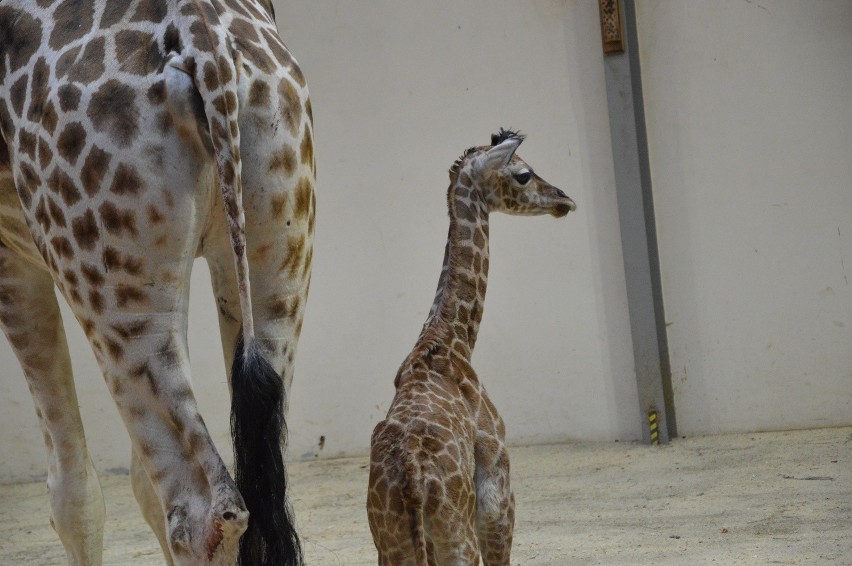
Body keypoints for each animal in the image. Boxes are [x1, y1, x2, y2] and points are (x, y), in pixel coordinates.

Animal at [0, 1, 314, 566]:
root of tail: (204, 41)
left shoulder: (11, 253)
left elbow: (73, 495)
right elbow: (134, 486)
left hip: (107, 279)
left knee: (202, 510)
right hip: (278, 257)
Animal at [364, 131, 572, 564]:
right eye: (523, 174)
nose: (564, 199)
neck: (451, 341)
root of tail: (412, 482)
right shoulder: (498, 486)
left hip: (393, 546)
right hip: (457, 538)